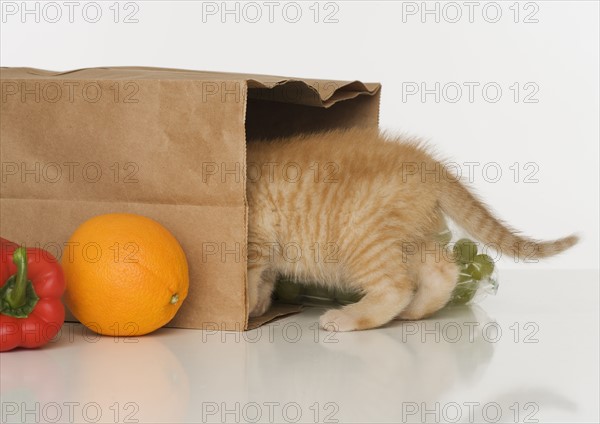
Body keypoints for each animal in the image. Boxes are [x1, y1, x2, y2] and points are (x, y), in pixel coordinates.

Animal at [246, 126, 580, 332]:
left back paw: (350, 316)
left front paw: (246, 311)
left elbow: (250, 280)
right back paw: (416, 311)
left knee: (395, 287)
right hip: (405, 237)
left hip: (362, 235)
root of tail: (430, 165)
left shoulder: (254, 243)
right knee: (442, 269)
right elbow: (264, 280)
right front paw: (259, 306)